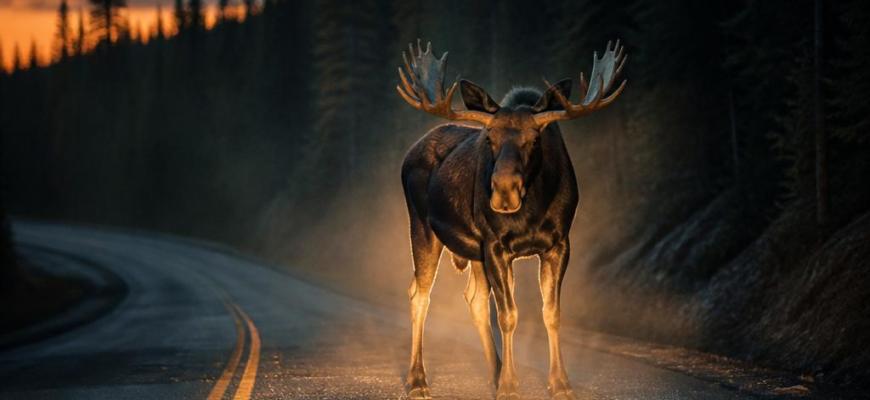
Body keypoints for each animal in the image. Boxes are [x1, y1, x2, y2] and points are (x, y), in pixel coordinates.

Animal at [396, 39, 627, 400]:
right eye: (488, 137)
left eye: (535, 138)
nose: (503, 193)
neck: (531, 213)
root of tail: (410, 153)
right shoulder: (496, 245)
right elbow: (508, 315)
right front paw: (508, 386)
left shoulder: (559, 243)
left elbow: (551, 313)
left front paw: (559, 384)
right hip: (422, 227)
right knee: (419, 294)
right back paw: (419, 380)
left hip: (474, 250)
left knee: (474, 299)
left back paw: (494, 371)